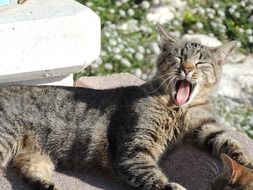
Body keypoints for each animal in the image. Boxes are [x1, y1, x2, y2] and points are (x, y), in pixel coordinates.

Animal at [0, 25, 253, 190]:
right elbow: (154, 177)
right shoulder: (134, 151)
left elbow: (230, 143)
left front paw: (247, 164)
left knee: (28, 169)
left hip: (36, 157)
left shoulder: (204, 126)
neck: (175, 108)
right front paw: (171, 186)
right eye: (179, 58)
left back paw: (45, 184)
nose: (187, 68)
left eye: (200, 62)